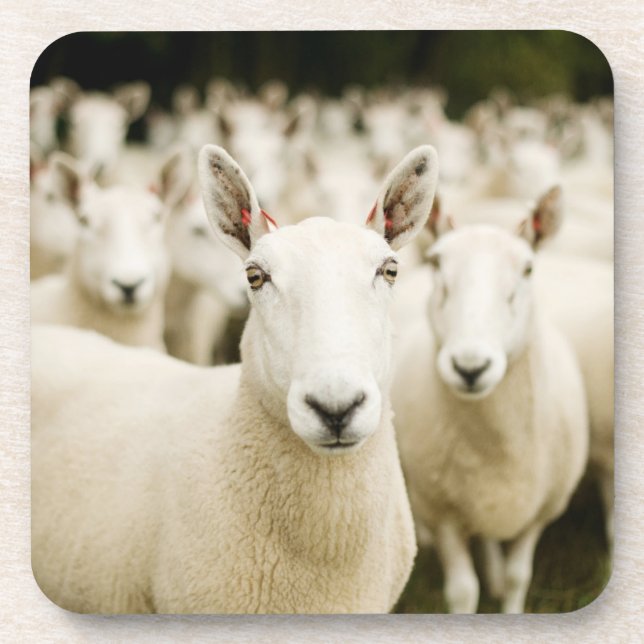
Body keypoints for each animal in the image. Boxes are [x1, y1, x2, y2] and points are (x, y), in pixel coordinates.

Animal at [391, 203, 589, 613]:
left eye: (528, 269)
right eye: (437, 263)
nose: (470, 367)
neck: (497, 445)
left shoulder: (539, 511)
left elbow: (518, 578)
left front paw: (507, 597)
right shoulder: (443, 513)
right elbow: (463, 590)